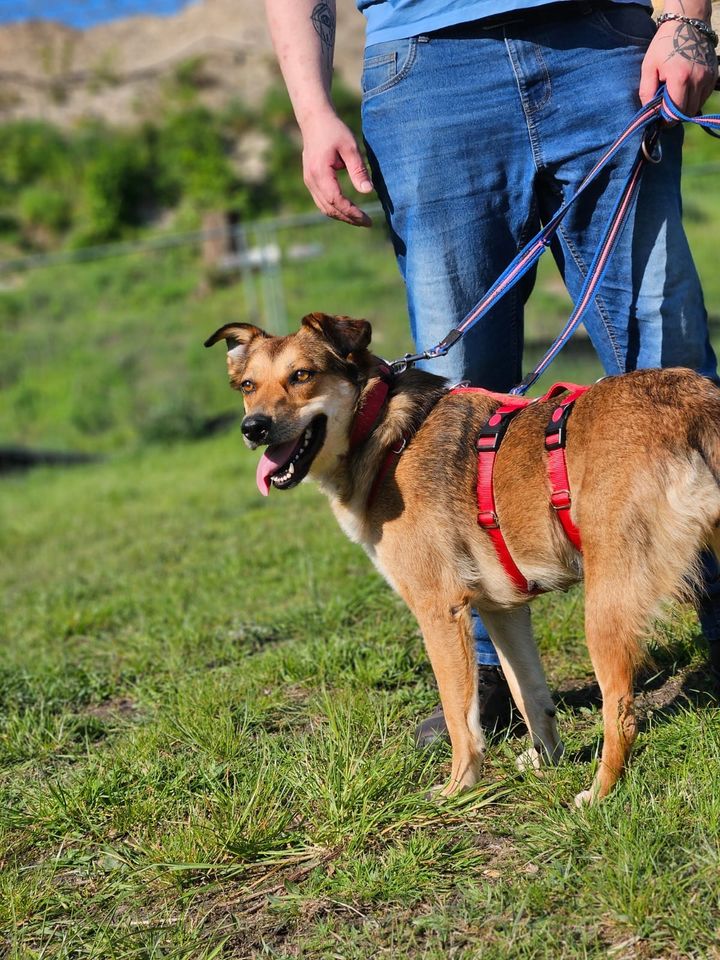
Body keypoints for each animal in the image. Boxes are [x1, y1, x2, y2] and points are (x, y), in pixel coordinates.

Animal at [204, 314, 720, 804]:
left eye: (302, 375)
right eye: (248, 386)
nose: (254, 428)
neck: (382, 431)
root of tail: (693, 398)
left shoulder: (440, 609)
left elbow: (459, 716)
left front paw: (458, 787)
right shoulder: (502, 610)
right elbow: (529, 693)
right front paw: (546, 761)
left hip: (605, 607)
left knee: (622, 717)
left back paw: (598, 793)